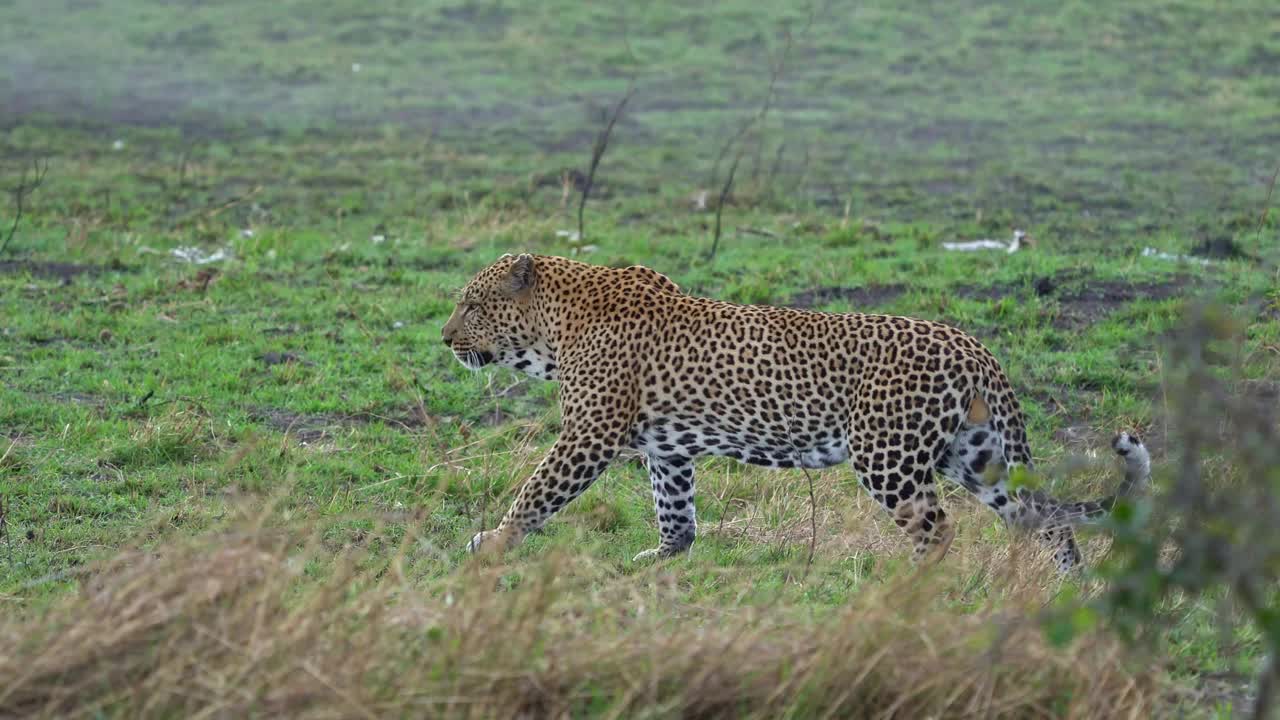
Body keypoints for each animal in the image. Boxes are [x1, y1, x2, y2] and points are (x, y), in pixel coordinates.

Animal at [440, 253, 1152, 571]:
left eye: (471, 305)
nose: (445, 339)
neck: (555, 326)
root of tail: (977, 348)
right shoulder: (666, 447)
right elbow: (675, 509)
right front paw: (666, 556)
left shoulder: (588, 434)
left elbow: (535, 493)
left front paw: (490, 543)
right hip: (975, 456)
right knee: (1044, 519)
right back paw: (1063, 589)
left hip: (889, 457)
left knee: (938, 529)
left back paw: (908, 590)